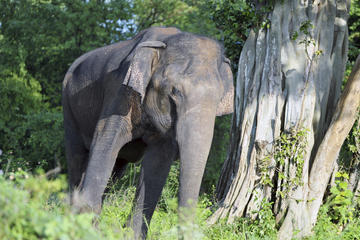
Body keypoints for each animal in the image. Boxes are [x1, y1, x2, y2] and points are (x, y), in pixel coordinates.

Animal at [62, 26, 233, 238]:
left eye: (219, 98)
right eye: (174, 92)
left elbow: (157, 162)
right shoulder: (120, 92)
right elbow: (105, 142)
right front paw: (88, 230)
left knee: (115, 169)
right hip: (69, 108)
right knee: (77, 158)